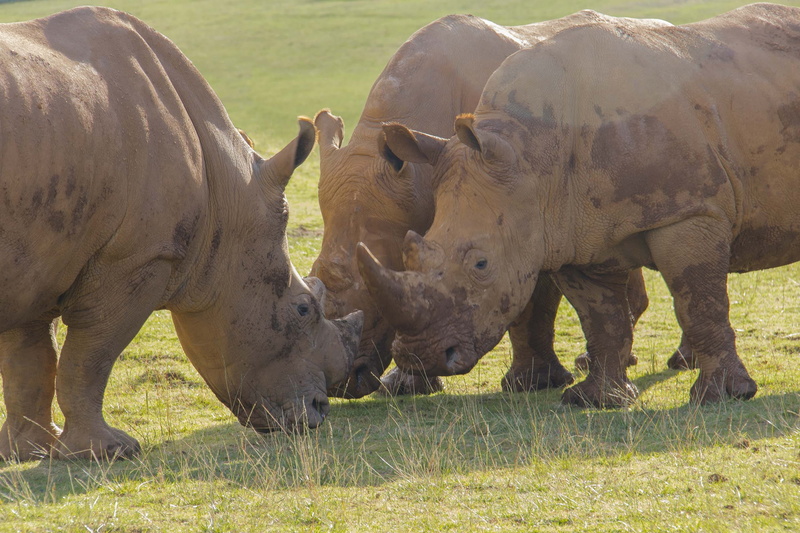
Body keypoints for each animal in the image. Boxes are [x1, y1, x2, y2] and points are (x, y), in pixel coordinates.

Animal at [0, 6, 363, 461]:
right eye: (302, 310)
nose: (317, 413)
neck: (225, 195)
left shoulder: (39, 256)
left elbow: (30, 358)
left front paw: (27, 452)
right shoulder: (139, 258)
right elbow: (90, 355)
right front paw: (110, 451)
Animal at [357, 3, 800, 407]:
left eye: (481, 264)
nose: (420, 355)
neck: (531, 151)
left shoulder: (688, 210)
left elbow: (699, 302)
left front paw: (720, 396)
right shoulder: (569, 231)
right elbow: (601, 318)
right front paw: (596, 400)